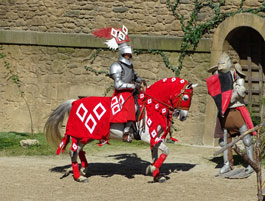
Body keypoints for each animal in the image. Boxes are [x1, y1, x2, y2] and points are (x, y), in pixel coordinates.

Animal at [43, 77, 196, 182]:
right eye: (185, 97)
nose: (183, 116)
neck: (153, 105)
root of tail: (75, 102)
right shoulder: (149, 137)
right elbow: (166, 151)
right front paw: (152, 169)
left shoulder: (154, 138)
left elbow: (156, 156)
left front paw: (157, 176)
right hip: (82, 135)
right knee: (73, 151)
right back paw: (79, 176)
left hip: (88, 136)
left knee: (79, 150)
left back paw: (83, 170)